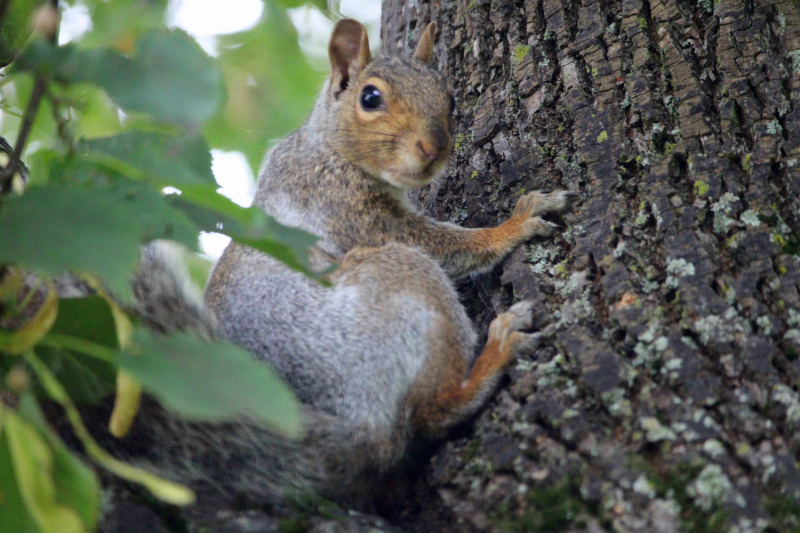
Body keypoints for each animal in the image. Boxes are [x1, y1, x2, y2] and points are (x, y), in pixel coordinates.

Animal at [123, 18, 576, 500]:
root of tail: (357, 423)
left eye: (451, 98)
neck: (326, 146)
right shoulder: (342, 204)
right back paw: (497, 349)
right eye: (370, 97)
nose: (434, 147)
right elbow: (438, 243)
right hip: (400, 283)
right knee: (431, 412)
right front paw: (516, 224)